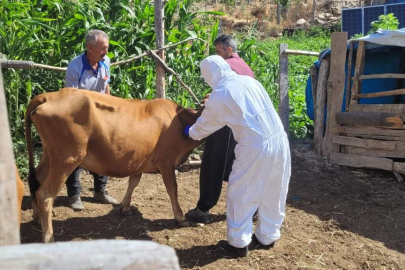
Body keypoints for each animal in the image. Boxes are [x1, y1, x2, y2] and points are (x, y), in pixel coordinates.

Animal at [25, 88, 202, 243]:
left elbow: (133, 182)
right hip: (67, 159)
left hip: (50, 155)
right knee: (45, 194)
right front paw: (180, 217)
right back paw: (48, 237)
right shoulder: (166, 162)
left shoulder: (139, 160)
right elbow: (172, 188)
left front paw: (125, 207)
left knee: (35, 179)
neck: (180, 120)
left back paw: (37, 218)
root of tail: (49, 95)